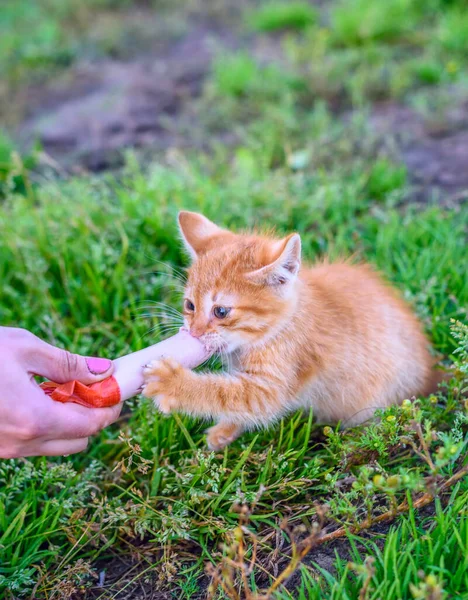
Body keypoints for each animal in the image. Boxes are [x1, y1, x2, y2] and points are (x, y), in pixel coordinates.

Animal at [143, 211, 436, 450]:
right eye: (189, 305)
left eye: (221, 312)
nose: (193, 332)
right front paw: (225, 431)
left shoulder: (272, 387)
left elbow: (228, 395)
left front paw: (174, 383)